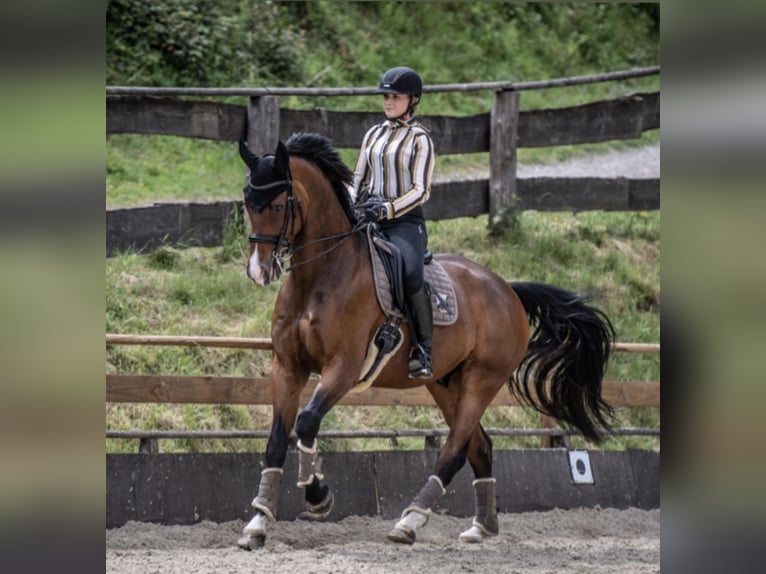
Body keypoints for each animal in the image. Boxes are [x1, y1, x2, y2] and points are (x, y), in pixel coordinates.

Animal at [237, 133, 616, 552]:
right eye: (247, 202)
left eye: (276, 205)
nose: (258, 271)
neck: (320, 277)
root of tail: (508, 291)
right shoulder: (287, 366)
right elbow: (276, 440)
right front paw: (258, 522)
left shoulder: (344, 368)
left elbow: (305, 423)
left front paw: (318, 496)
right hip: (446, 384)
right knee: (480, 447)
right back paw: (481, 526)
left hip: (481, 380)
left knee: (454, 450)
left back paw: (410, 521)